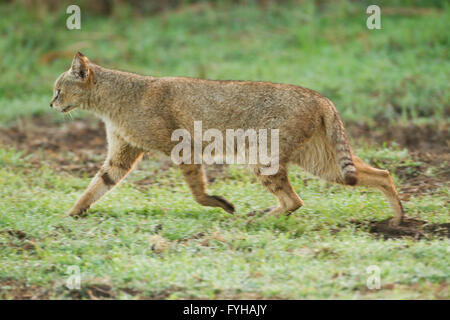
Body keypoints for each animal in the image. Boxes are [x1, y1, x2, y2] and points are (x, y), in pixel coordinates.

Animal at [51, 52, 406, 226]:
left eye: (58, 89)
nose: (51, 103)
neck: (114, 100)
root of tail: (321, 97)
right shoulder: (121, 155)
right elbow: (95, 187)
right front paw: (72, 214)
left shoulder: (183, 148)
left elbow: (198, 192)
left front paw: (221, 204)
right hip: (324, 162)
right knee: (381, 174)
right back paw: (398, 219)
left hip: (264, 158)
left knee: (295, 200)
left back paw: (259, 219)